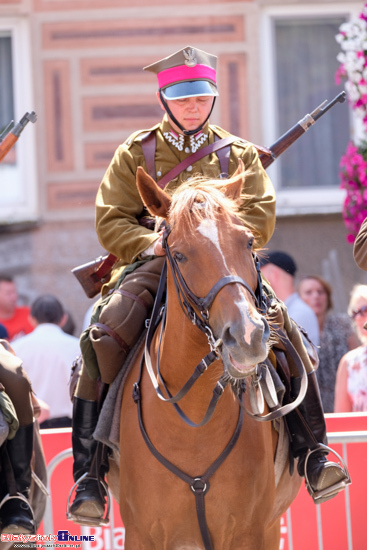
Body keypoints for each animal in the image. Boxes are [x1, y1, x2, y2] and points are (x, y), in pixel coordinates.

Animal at [112, 162, 302, 550]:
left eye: (247, 241)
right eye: (179, 254)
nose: (247, 336)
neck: (194, 422)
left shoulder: (253, 532)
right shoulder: (141, 535)